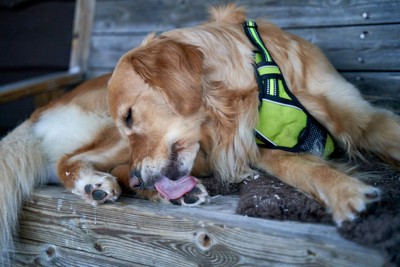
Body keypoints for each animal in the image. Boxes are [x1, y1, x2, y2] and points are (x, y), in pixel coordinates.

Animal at [107, 3, 400, 228]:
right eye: (124, 123)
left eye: (129, 116)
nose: (136, 177)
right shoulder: (262, 148)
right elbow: (304, 167)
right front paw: (346, 192)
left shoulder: (363, 117)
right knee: (115, 168)